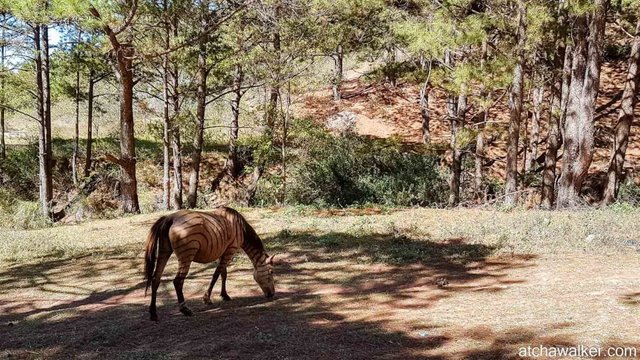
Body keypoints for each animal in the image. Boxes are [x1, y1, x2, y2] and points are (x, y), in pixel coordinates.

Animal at [145, 207, 276, 322]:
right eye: (271, 272)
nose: (272, 294)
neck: (240, 228)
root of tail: (170, 217)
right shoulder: (230, 250)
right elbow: (217, 274)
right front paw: (207, 298)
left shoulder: (223, 252)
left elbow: (223, 274)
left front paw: (224, 295)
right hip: (186, 255)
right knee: (178, 281)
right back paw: (185, 309)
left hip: (164, 252)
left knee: (155, 279)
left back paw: (153, 313)